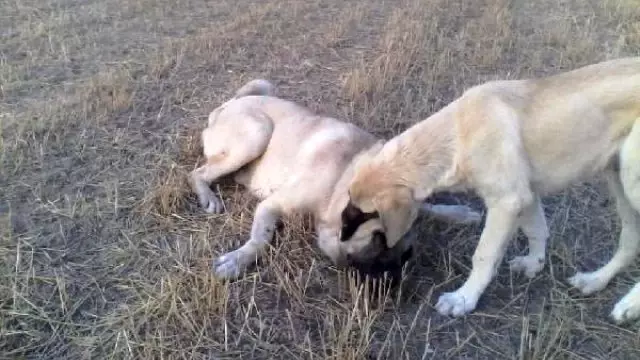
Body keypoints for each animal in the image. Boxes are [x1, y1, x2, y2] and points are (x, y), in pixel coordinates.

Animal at [186, 79, 480, 282]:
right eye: (377, 240)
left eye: (407, 253)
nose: (393, 281)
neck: (343, 175)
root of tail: (227, 104)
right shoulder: (271, 206)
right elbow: (261, 240)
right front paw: (238, 259)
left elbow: (428, 208)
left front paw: (459, 213)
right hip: (258, 133)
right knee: (197, 173)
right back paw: (208, 197)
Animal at [342, 57, 640, 324]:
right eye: (349, 200)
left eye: (364, 213)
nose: (341, 236)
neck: (458, 135)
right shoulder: (525, 194)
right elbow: (537, 230)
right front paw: (534, 264)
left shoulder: (506, 201)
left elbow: (484, 254)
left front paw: (464, 299)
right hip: (618, 179)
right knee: (630, 242)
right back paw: (596, 281)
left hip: (631, 181)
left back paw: (629, 305)